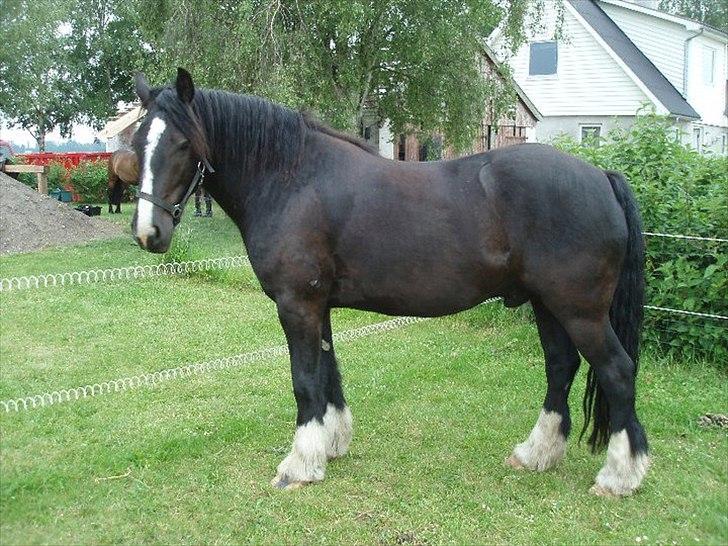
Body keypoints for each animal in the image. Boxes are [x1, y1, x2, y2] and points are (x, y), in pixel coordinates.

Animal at [130, 68, 650, 497]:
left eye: (182, 144)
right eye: (137, 145)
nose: (148, 233)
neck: (291, 178)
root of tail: (601, 177)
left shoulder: (297, 304)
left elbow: (304, 381)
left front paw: (299, 465)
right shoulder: (319, 306)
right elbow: (329, 372)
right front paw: (331, 445)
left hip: (579, 310)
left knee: (618, 372)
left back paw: (619, 476)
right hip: (547, 305)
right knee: (561, 368)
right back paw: (536, 453)